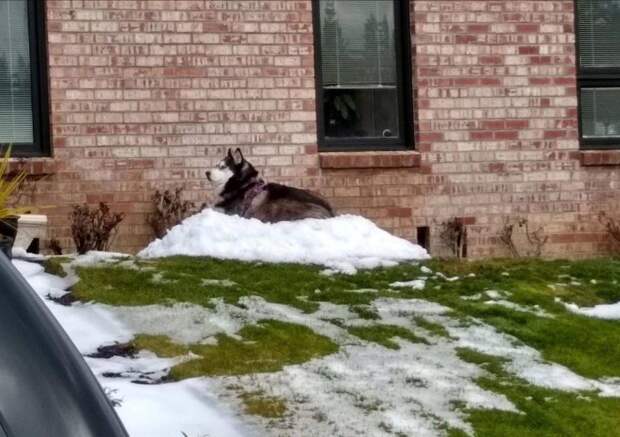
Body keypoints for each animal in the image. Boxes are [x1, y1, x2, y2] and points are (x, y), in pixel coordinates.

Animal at [206, 148, 334, 221]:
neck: (244, 185)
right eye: (217, 165)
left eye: (222, 167)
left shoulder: (233, 212)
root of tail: (331, 213)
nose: (206, 172)